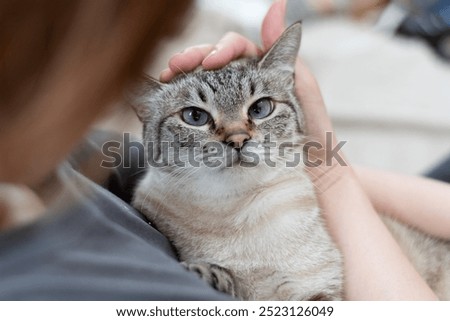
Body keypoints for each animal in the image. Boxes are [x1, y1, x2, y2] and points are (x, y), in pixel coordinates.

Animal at [127, 23, 450, 300]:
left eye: (260, 109)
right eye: (195, 116)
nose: (238, 140)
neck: (236, 216)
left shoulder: (320, 293)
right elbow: (225, 280)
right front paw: (206, 273)